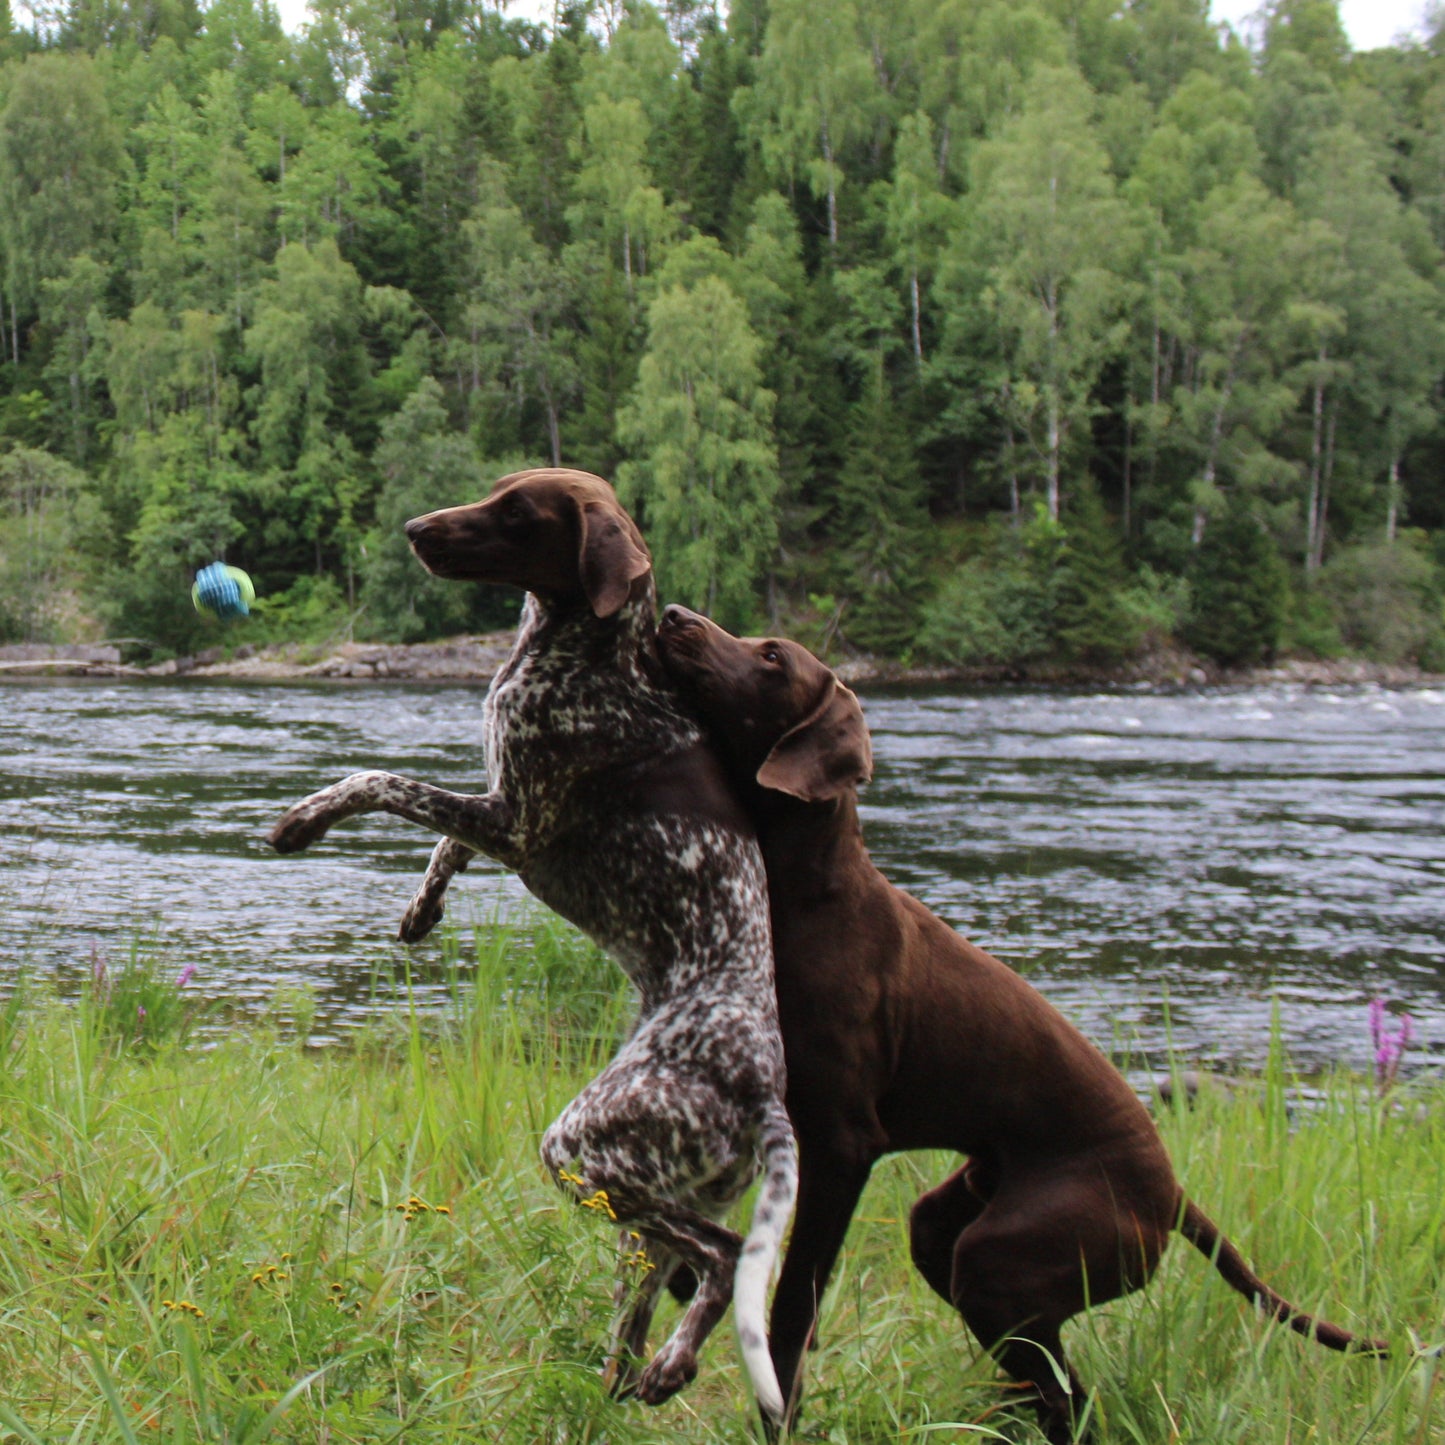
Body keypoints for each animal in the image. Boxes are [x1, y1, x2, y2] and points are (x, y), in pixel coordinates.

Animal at [265, 468, 797, 1416]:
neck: (593, 655)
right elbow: (444, 841)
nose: (414, 528)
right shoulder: (502, 813)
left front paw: (307, 818)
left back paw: (668, 1362)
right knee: (666, 1277)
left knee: (724, 1257)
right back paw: (634, 1375)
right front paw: (420, 911)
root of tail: (761, 1090)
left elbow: (382, 781)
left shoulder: (514, 818)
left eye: (517, 513)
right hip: (641, 1191)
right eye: (495, 488)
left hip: (585, 1150)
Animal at [658, 606, 1387, 1445]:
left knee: (1066, 1393)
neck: (805, 890)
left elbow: (789, 1307)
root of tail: (1172, 1194)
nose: (674, 614)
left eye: (772, 657)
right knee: (1047, 1376)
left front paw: (777, 1405)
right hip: (959, 1228)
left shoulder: (841, 1144)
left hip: (1002, 1258)